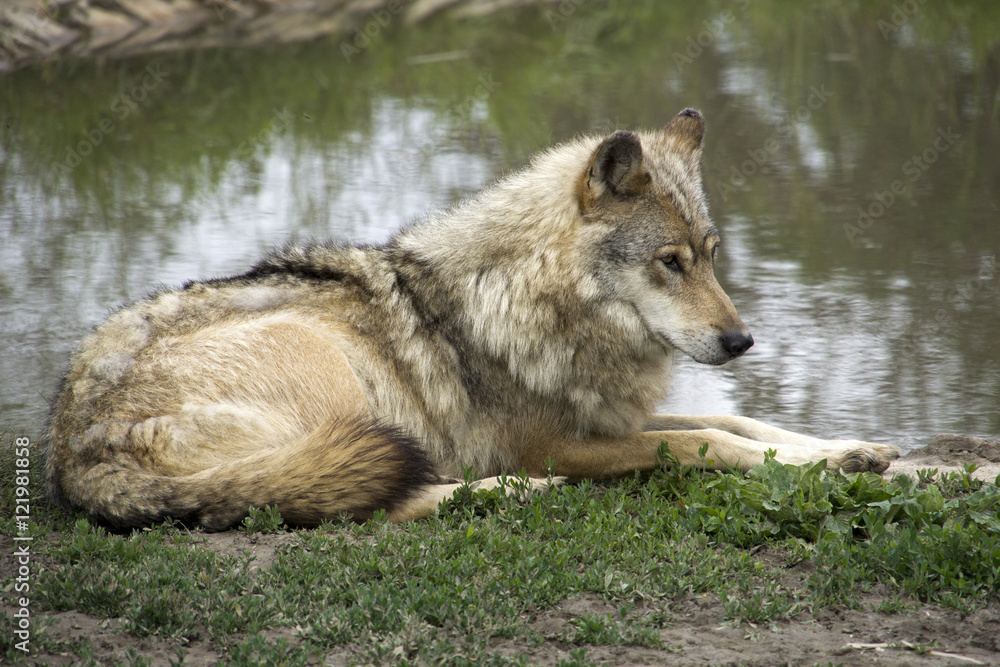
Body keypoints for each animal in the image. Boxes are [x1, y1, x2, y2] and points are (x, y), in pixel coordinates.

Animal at [44, 109, 899, 530]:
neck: (527, 297)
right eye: (670, 262)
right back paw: (514, 493)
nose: (741, 339)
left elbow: (750, 424)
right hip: (330, 371)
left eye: (713, 255)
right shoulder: (561, 441)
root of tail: (69, 449)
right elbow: (705, 441)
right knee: (369, 500)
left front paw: (849, 452)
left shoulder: (607, 415)